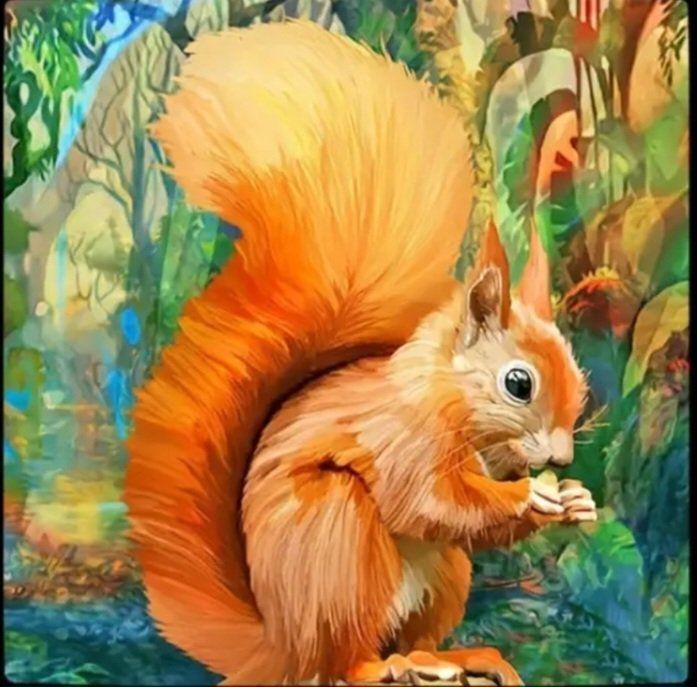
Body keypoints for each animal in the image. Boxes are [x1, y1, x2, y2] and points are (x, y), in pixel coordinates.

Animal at [124, 20, 596, 686]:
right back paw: (384, 667)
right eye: (519, 383)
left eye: (580, 378)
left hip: (443, 576)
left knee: (413, 632)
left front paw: (574, 499)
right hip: (338, 541)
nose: (559, 456)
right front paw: (532, 496)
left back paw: (450, 658)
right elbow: (431, 503)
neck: (451, 399)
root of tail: (282, 646)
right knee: (343, 663)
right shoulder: (402, 439)